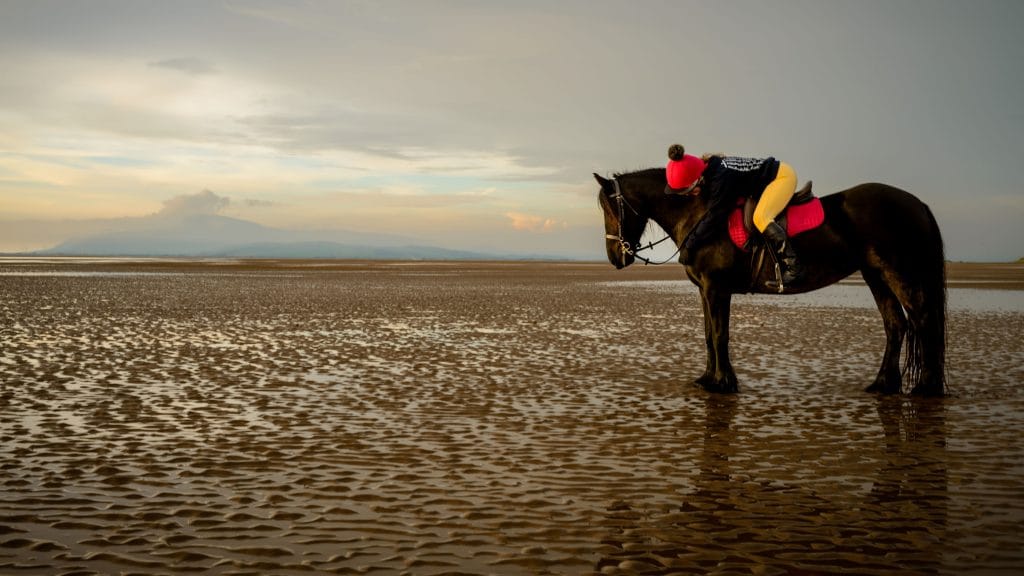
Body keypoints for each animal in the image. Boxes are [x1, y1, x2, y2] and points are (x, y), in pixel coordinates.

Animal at [595, 168, 947, 396]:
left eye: (610, 207)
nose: (615, 256)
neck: (700, 213)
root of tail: (916, 203)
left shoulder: (716, 287)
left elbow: (720, 334)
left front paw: (724, 383)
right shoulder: (705, 291)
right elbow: (708, 334)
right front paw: (709, 378)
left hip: (897, 274)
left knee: (923, 320)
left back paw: (925, 387)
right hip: (876, 276)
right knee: (896, 324)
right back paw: (884, 384)